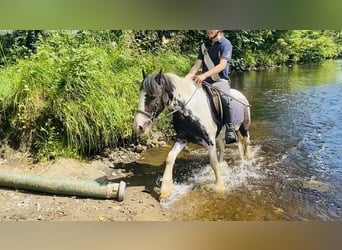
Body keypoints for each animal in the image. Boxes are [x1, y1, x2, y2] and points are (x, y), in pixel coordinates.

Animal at [132, 69, 252, 200]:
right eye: (139, 94)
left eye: (152, 96)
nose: (137, 127)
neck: (191, 110)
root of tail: (240, 94)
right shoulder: (182, 138)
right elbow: (170, 157)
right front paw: (165, 190)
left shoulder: (210, 142)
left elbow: (213, 163)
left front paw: (220, 187)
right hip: (220, 137)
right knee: (222, 149)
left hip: (244, 128)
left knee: (246, 143)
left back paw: (248, 159)